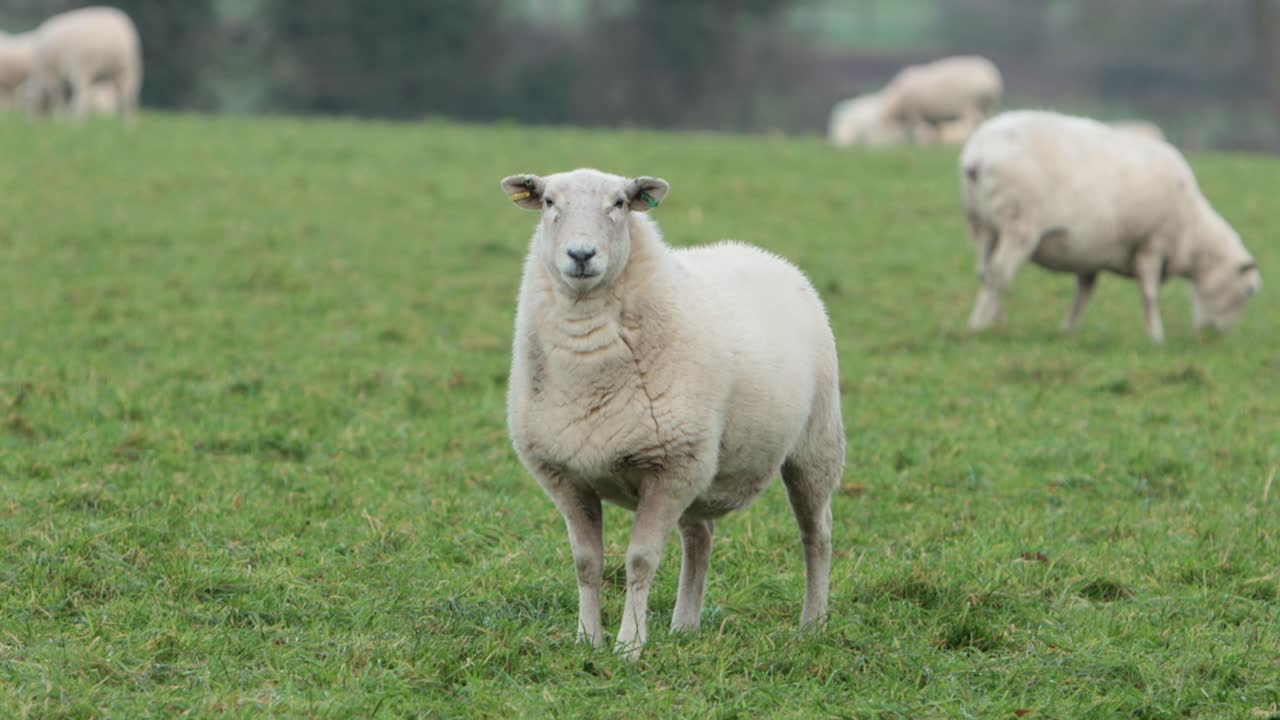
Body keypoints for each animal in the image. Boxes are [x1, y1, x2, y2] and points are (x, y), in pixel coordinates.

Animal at [502, 168, 845, 658]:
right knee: (699, 539)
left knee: (816, 534)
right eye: (549, 201)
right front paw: (588, 639)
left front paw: (628, 646)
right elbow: (586, 563)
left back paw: (813, 623)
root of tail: (761, 253)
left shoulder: (667, 470)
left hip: (814, 443)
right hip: (699, 464)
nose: (581, 255)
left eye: (620, 204)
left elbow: (639, 561)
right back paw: (685, 625)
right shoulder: (566, 475)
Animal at [960, 110, 1261, 342]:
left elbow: (1083, 294)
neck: (1193, 232)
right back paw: (980, 325)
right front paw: (1156, 337)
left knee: (985, 272)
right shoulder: (1152, 244)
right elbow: (1149, 295)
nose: (1216, 336)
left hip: (981, 225)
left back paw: (997, 321)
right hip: (1018, 227)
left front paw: (1068, 331)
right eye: (1248, 292)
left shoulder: (1087, 255)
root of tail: (979, 154)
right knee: (999, 273)